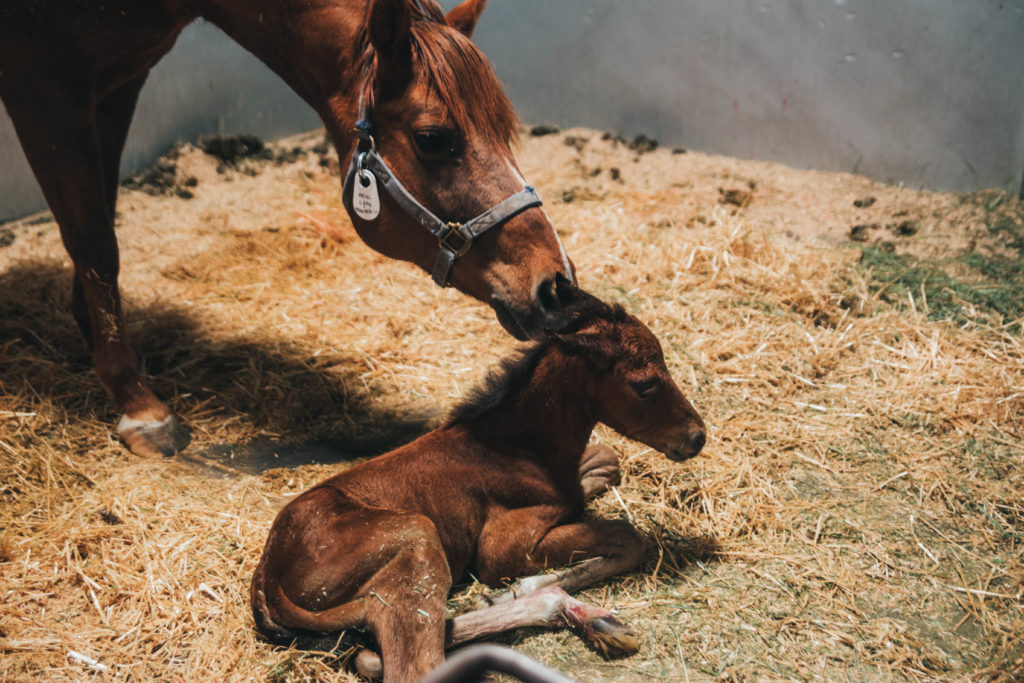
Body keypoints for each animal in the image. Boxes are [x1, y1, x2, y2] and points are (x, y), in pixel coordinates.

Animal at [0, 0, 574, 458]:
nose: (555, 287)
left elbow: (100, 211)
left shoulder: (116, 83)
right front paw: (137, 402)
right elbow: (94, 239)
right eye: (433, 138)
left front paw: (91, 331)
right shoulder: (45, 88)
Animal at [250, 288, 707, 682]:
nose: (697, 436)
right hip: (416, 539)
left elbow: (608, 462)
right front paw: (517, 587)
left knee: (370, 652)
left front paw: (511, 593)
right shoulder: (503, 547)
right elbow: (627, 537)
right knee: (404, 664)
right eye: (645, 384)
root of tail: (267, 582)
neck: (515, 447)